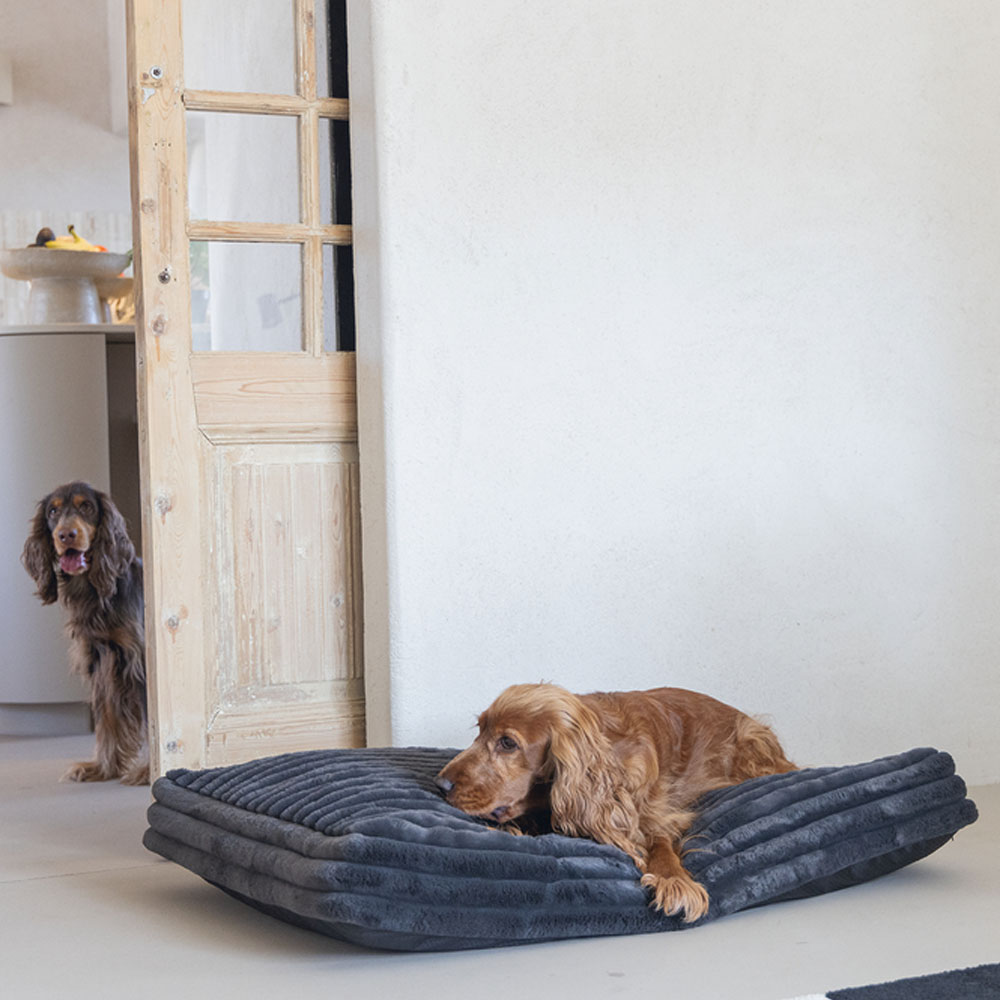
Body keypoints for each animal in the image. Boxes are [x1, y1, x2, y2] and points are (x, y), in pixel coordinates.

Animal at [22, 482, 148, 785]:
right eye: (53, 511)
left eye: (86, 506)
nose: (66, 534)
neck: (97, 592)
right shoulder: (102, 660)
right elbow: (107, 720)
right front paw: (102, 767)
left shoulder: (138, 659)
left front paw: (149, 770)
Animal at [435, 682, 795, 922]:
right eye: (479, 730)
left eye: (508, 743)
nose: (440, 784)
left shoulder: (658, 812)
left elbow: (660, 842)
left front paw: (674, 881)